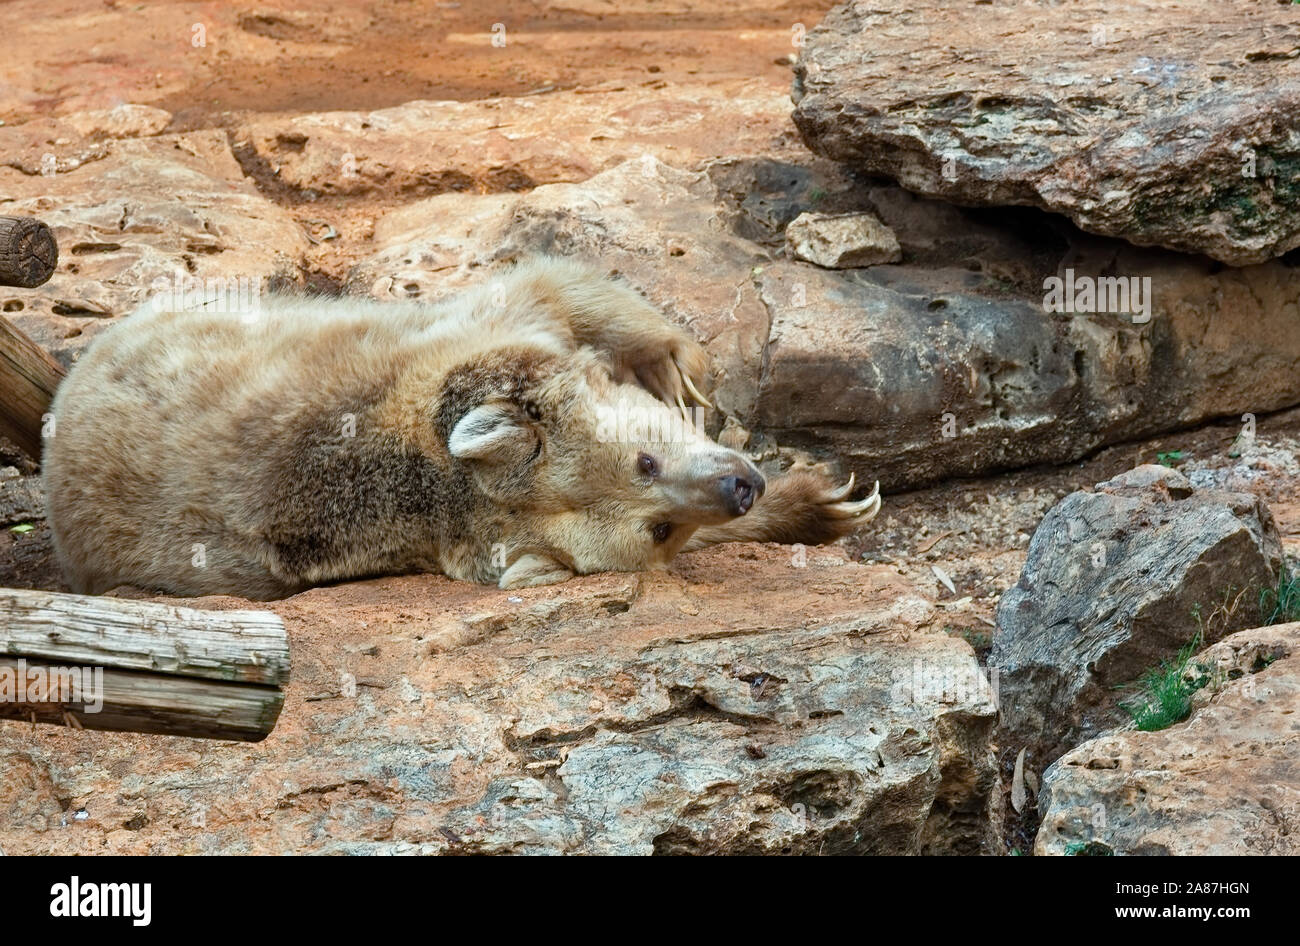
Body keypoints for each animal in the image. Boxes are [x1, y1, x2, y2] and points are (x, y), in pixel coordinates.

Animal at [40, 258, 878, 597]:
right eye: (656, 528)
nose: (741, 487)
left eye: (645, 458)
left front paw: (677, 367)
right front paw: (823, 502)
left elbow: (557, 290)